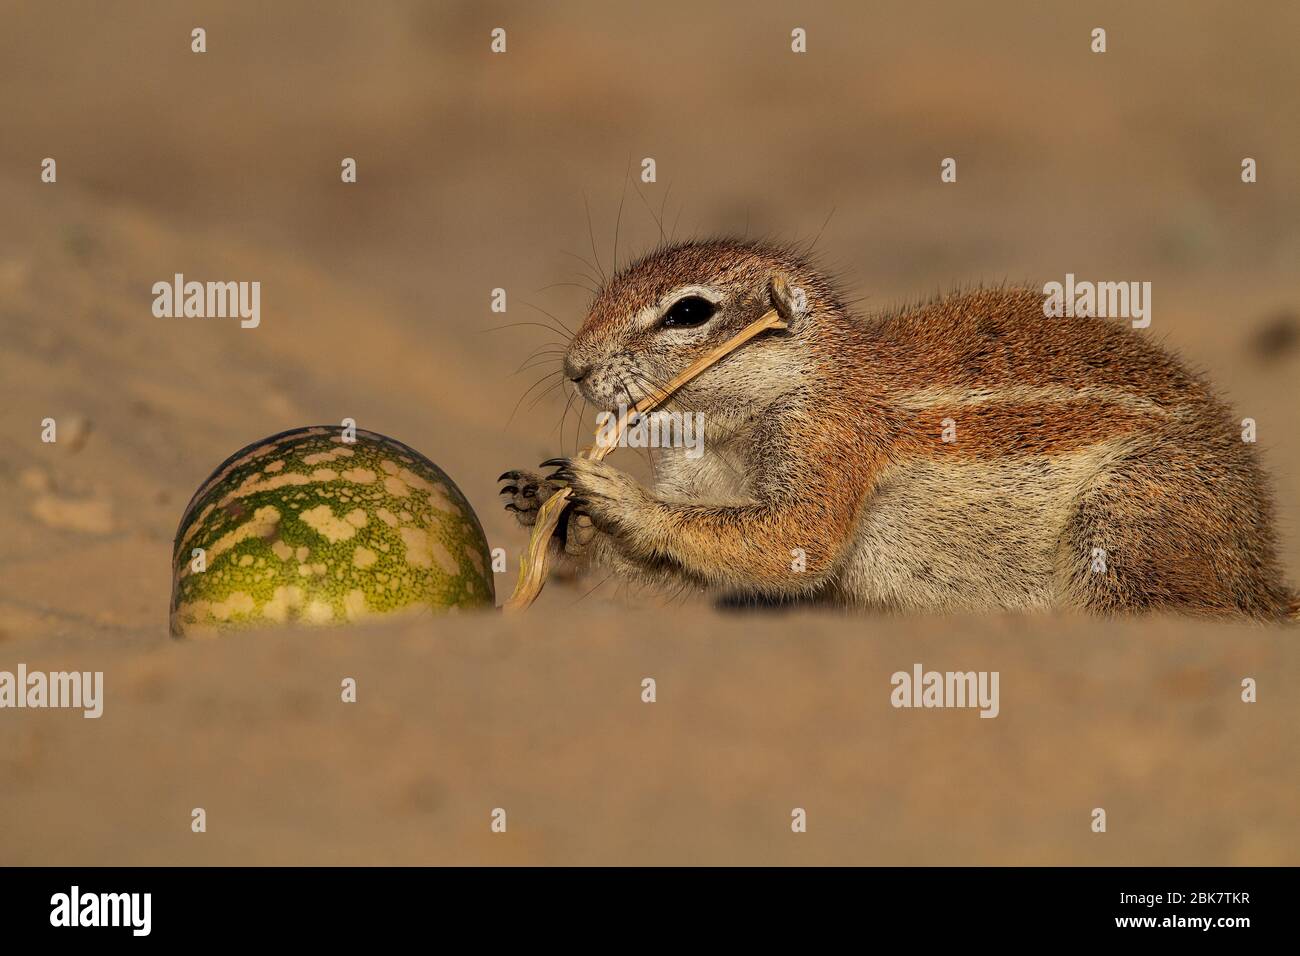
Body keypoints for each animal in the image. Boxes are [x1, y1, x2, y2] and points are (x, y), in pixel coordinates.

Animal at [496, 235, 1289, 616]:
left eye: (689, 312)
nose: (573, 367)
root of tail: (1258, 569)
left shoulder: (828, 439)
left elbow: (792, 540)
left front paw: (616, 496)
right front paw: (551, 508)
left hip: (1131, 516)